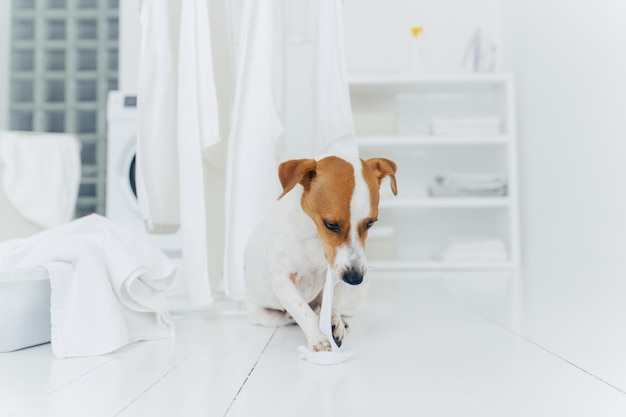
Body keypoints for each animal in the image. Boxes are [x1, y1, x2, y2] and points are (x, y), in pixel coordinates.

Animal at [243, 154, 394, 350]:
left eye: (370, 223)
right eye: (331, 224)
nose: (355, 279)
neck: (314, 240)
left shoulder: (337, 275)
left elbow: (333, 303)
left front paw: (335, 321)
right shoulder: (283, 282)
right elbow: (304, 312)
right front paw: (318, 337)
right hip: (263, 315)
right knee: (292, 316)